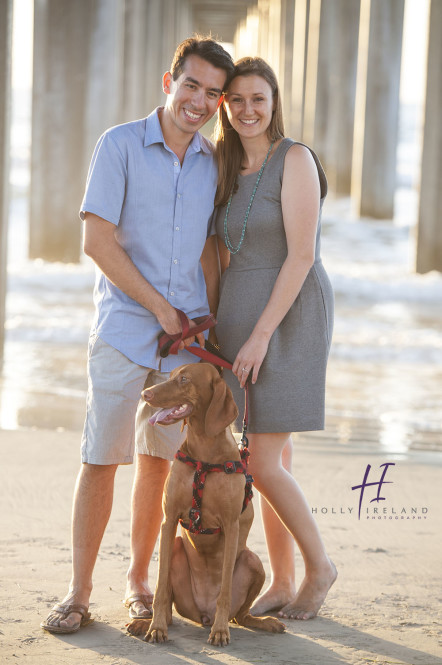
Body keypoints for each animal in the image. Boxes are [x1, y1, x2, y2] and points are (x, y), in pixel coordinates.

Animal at [127, 360, 286, 644]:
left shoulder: (231, 526)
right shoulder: (169, 521)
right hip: (176, 547)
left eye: (185, 379)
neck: (204, 454)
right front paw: (156, 627)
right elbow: (160, 588)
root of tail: (203, 614)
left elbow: (225, 591)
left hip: (253, 561)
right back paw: (146, 623)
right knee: (170, 608)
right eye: (171, 375)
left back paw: (261, 622)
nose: (146, 394)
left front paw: (220, 631)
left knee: (240, 615)